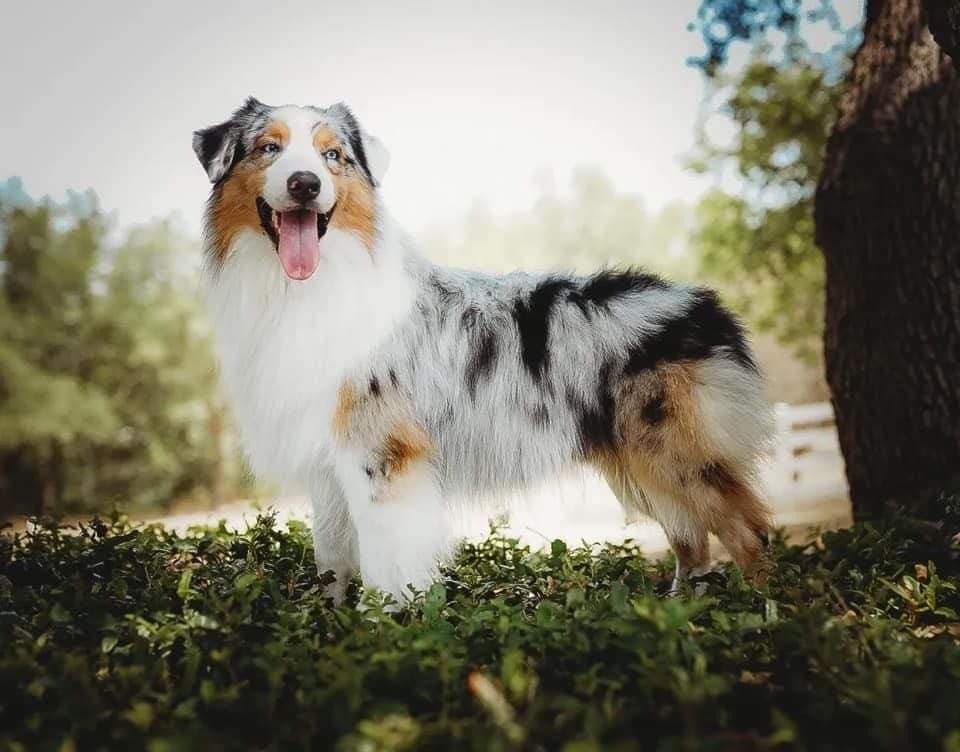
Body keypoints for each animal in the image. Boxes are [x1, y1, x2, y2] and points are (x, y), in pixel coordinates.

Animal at [191, 98, 776, 604]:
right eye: (268, 148)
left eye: (332, 156)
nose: (305, 184)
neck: (305, 288)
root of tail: (703, 304)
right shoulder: (329, 464)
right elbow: (331, 557)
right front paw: (327, 624)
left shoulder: (384, 455)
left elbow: (386, 563)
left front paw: (384, 626)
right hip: (638, 465)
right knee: (692, 543)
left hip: (677, 456)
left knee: (748, 535)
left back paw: (761, 617)